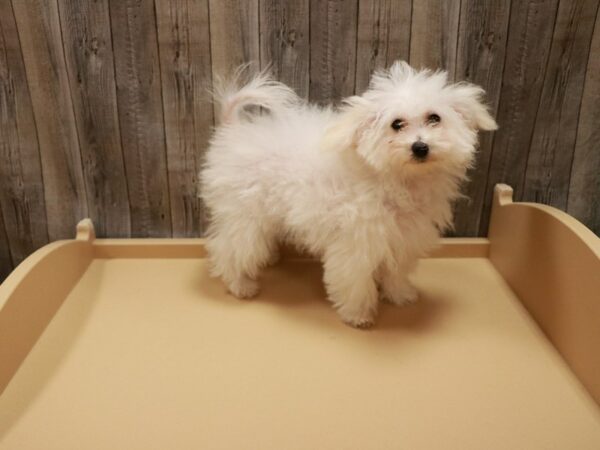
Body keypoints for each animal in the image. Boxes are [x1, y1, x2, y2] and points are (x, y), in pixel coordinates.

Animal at [200, 60, 496, 326]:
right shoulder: (356, 244)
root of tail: (233, 130)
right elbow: (355, 280)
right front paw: (358, 315)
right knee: (228, 249)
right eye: (396, 124)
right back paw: (241, 285)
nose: (420, 147)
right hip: (244, 214)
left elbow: (396, 271)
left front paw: (400, 295)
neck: (395, 179)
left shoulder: (403, 237)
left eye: (434, 118)